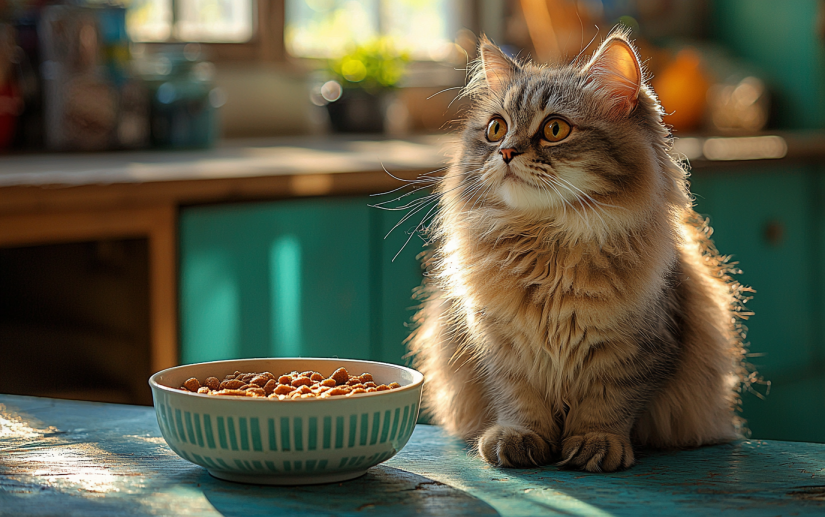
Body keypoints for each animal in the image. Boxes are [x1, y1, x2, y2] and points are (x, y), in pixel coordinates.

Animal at [406, 29, 752, 472]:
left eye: (555, 129)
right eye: (496, 129)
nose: (506, 152)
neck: (547, 246)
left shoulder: (635, 352)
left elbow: (606, 405)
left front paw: (594, 444)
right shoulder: (501, 351)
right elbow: (520, 402)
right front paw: (519, 439)